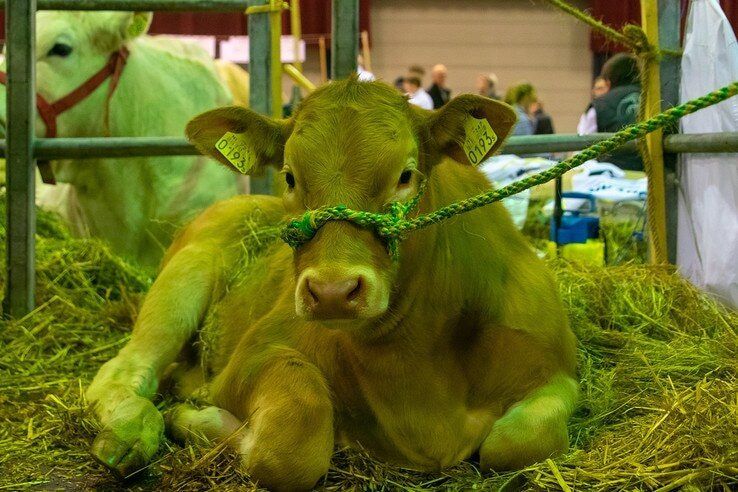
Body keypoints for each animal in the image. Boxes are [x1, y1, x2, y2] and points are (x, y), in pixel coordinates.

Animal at [87, 77, 576, 488]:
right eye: (289, 176)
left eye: (405, 175)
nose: (333, 293)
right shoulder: (253, 353)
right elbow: (294, 441)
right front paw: (204, 421)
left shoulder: (557, 371)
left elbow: (515, 442)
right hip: (182, 280)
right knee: (124, 371)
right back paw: (129, 435)